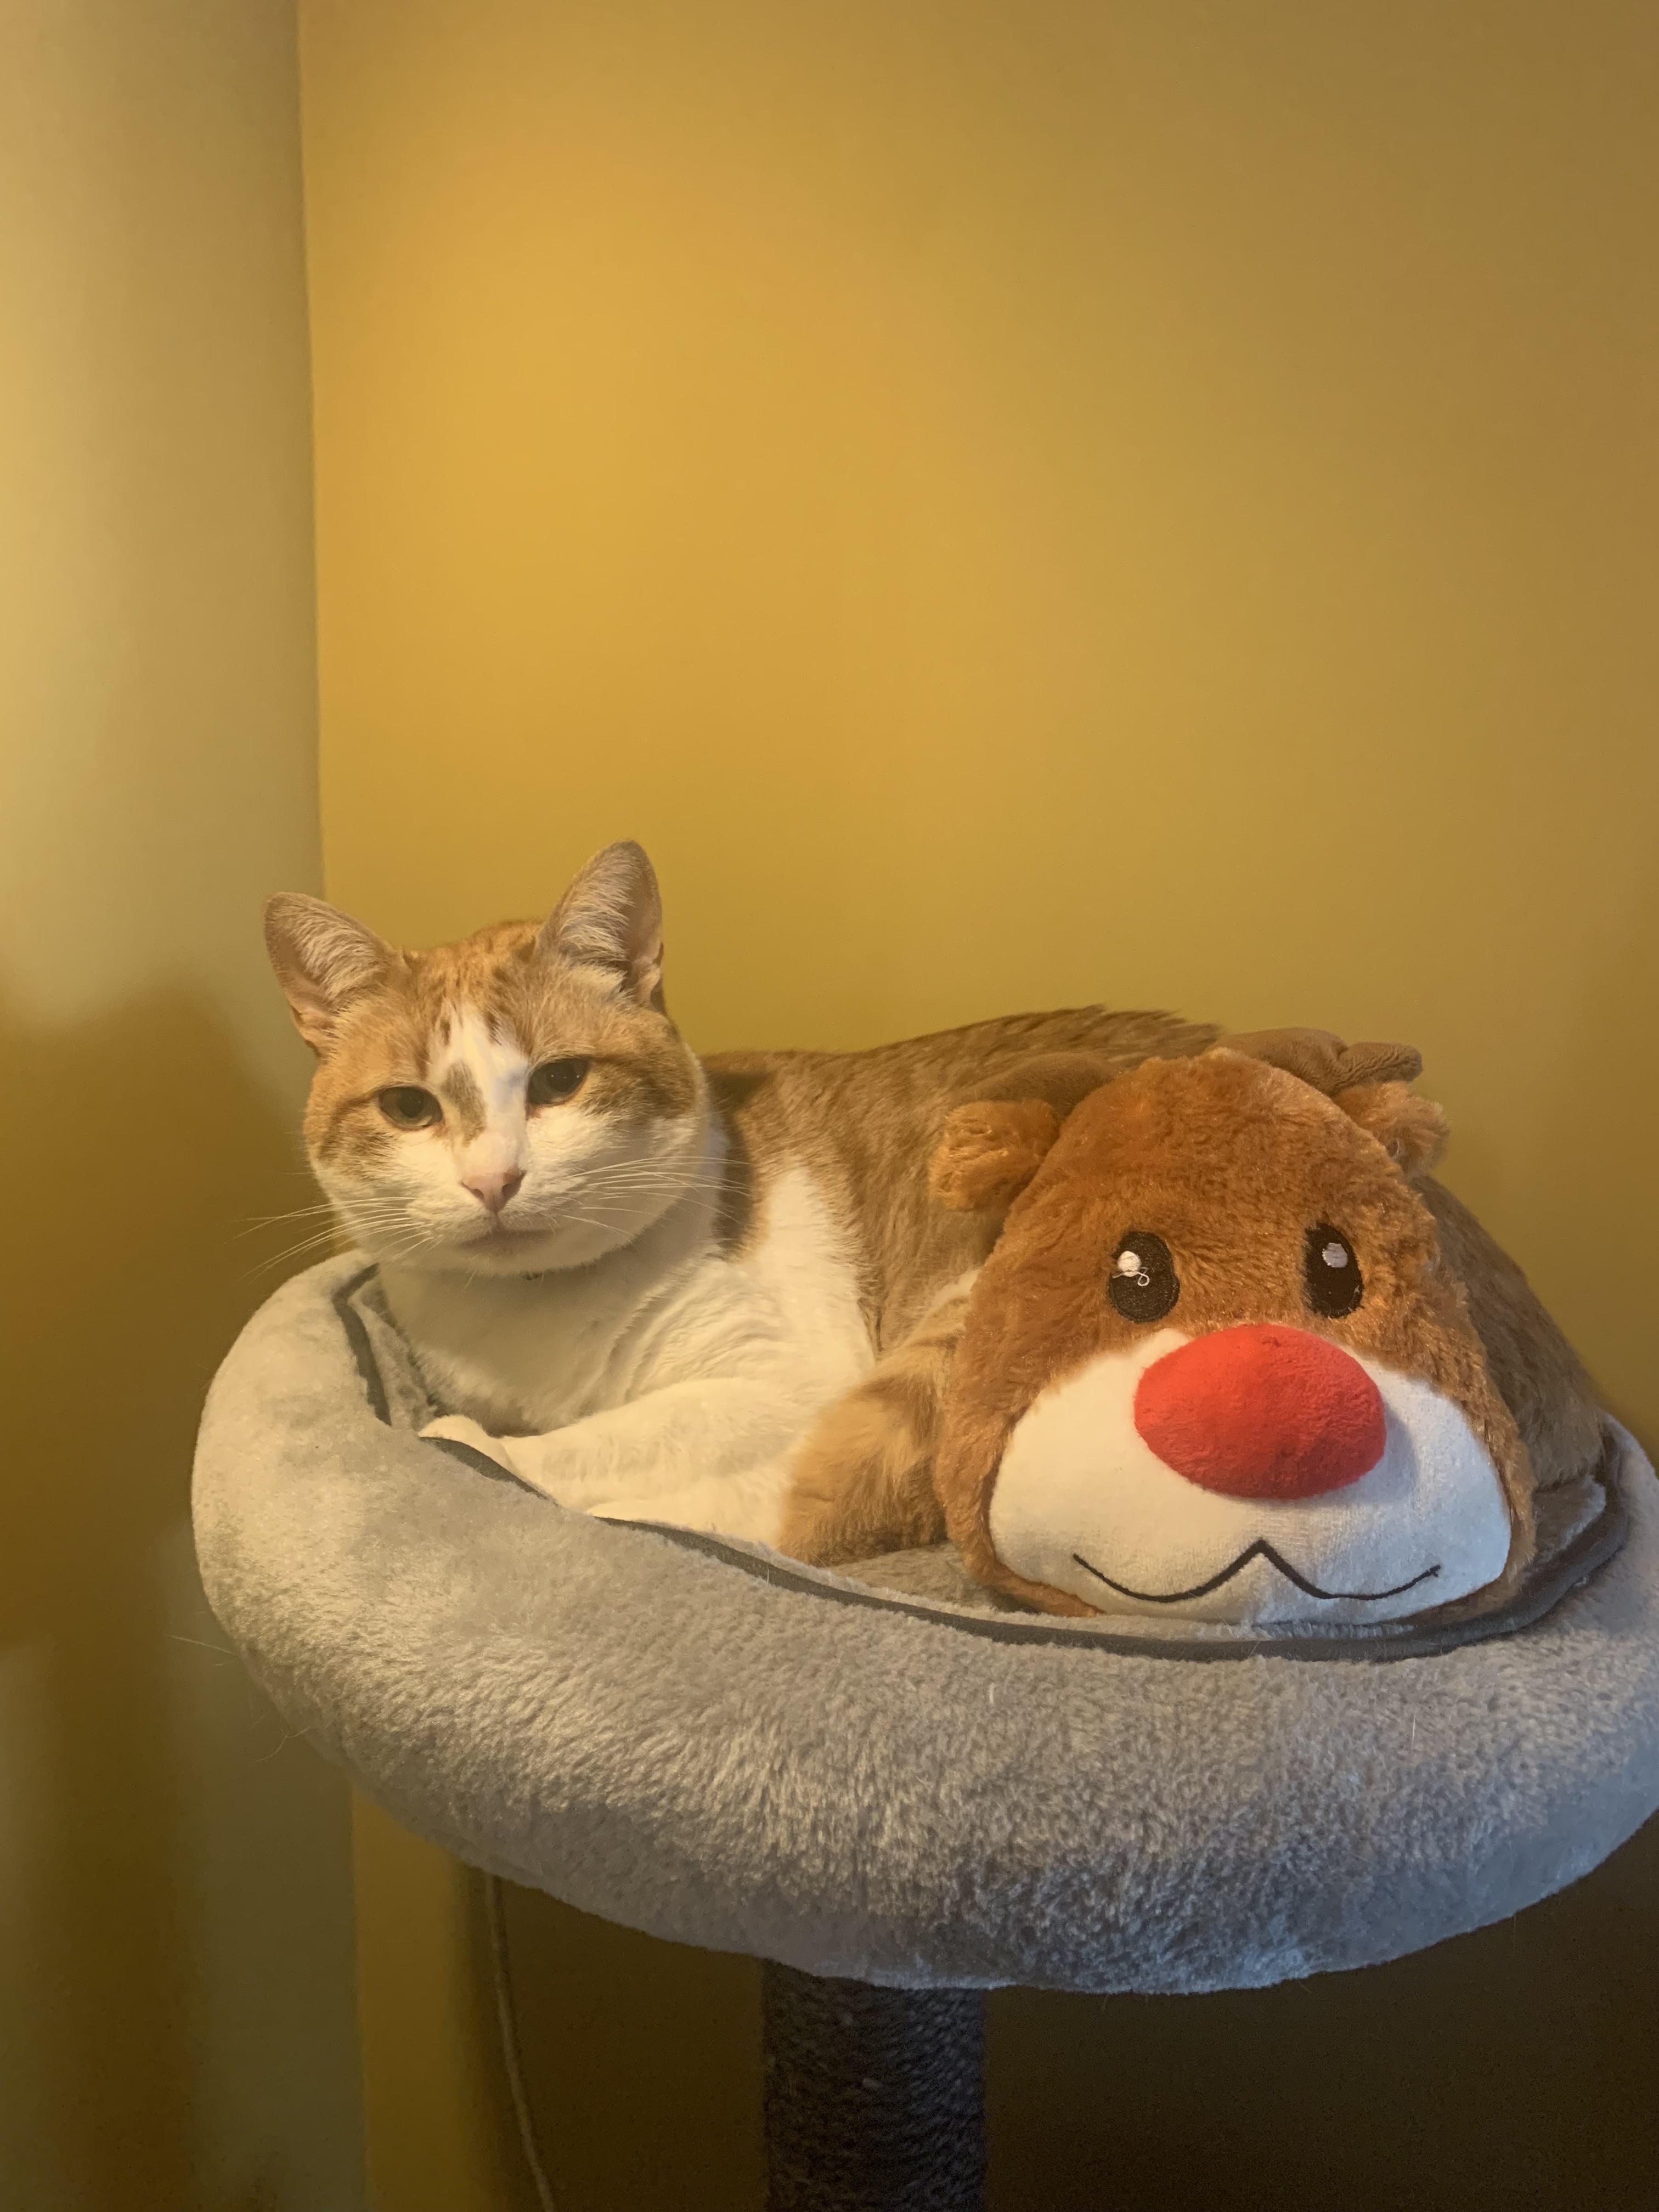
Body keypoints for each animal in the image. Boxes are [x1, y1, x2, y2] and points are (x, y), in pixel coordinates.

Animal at [265, 840, 1418, 1548]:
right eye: (409, 1107)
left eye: (557, 1082)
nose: (493, 1180)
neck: (529, 1322)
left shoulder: (772, 1378)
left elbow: (586, 1445)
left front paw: (487, 1451)